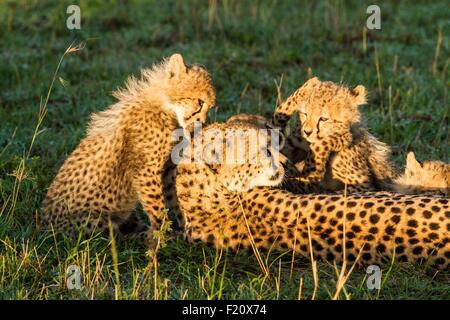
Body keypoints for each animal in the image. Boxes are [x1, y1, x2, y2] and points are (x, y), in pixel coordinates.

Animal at [41, 53, 216, 242]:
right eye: (200, 102)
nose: (202, 125)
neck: (166, 108)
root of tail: (43, 226)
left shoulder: (167, 169)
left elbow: (174, 198)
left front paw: (186, 230)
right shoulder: (146, 172)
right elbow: (157, 208)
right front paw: (163, 237)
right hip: (94, 220)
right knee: (114, 237)